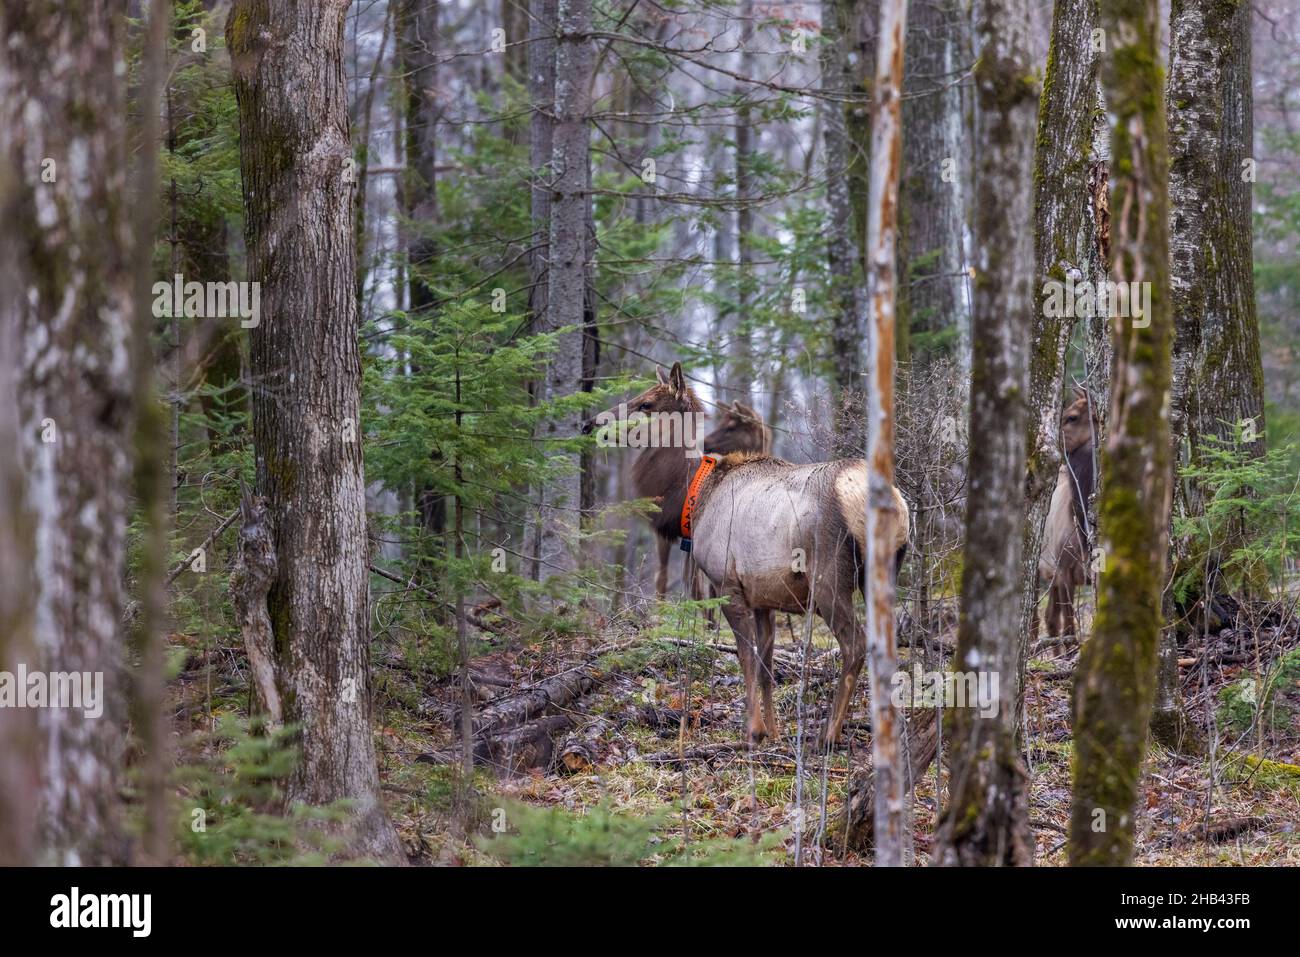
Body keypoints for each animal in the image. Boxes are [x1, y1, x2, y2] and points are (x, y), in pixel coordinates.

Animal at [585, 361, 909, 743]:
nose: (590, 423)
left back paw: (829, 733)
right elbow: (767, 666)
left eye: (646, 403)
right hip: (887, 571)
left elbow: (746, 658)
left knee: (855, 643)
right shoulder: (763, 598)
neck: (693, 498)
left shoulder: (726, 584)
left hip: (829, 578)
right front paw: (774, 732)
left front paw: (752, 731)